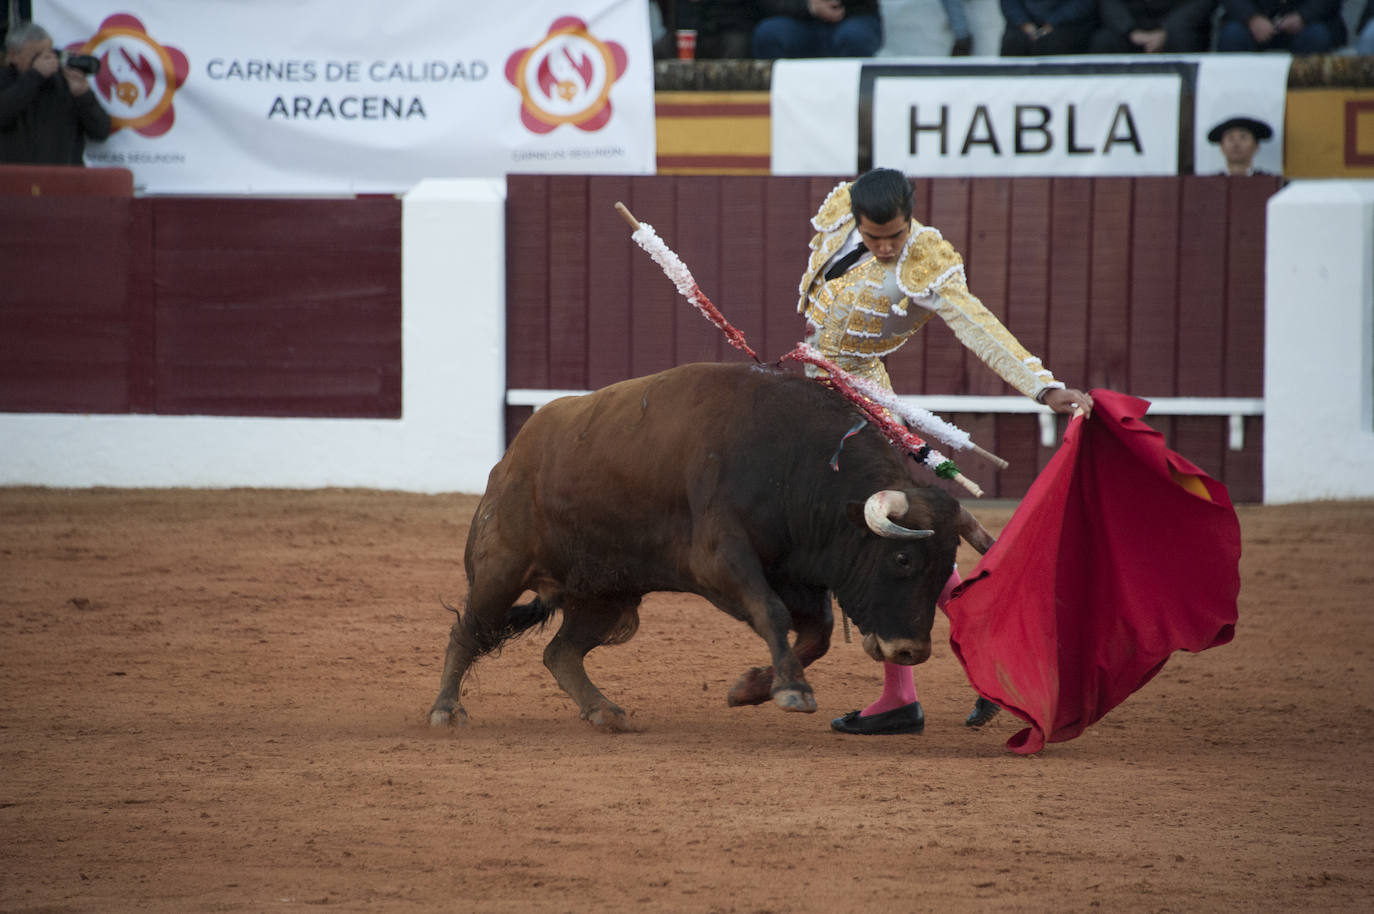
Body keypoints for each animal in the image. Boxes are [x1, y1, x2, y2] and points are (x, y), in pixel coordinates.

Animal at [425, 360, 989, 731]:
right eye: (902, 558)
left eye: (946, 569)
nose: (911, 651)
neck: (794, 467)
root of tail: (512, 457)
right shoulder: (721, 562)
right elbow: (772, 614)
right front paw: (792, 691)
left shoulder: (796, 574)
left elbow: (819, 633)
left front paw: (752, 688)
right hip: (501, 568)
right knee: (468, 631)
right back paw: (445, 710)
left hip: (604, 592)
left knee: (560, 652)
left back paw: (604, 711)